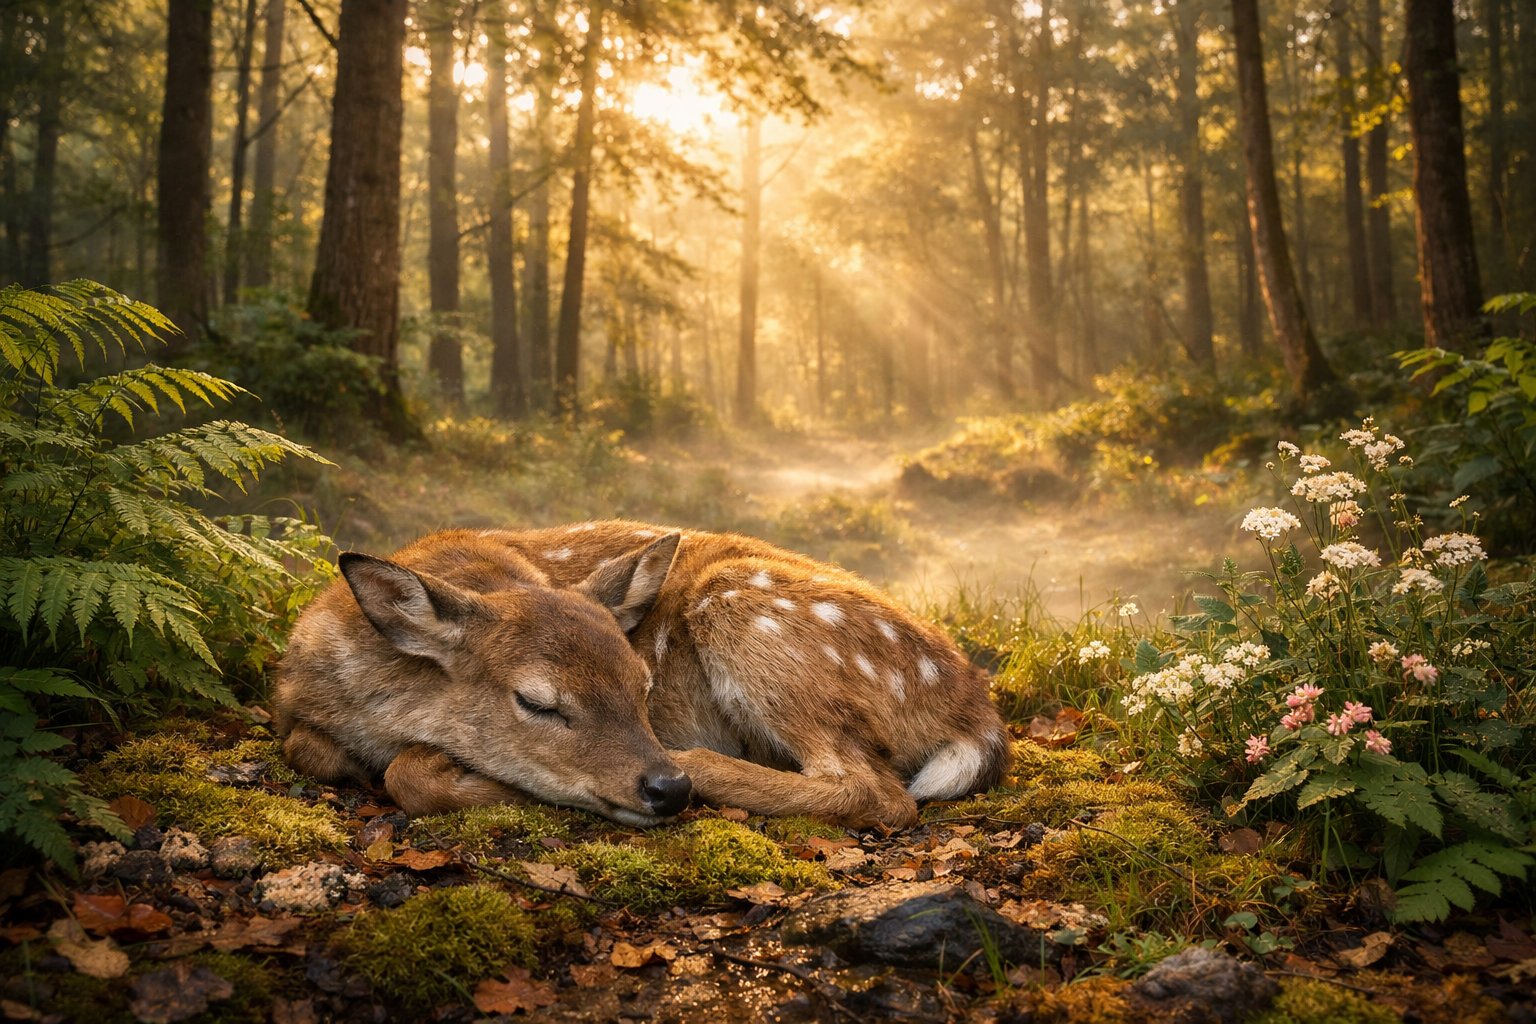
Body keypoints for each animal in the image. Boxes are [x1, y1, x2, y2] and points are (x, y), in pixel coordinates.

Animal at [273, 521, 1011, 829]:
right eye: (537, 701)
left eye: (644, 686)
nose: (664, 787)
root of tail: (974, 709)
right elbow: (306, 748)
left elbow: (407, 774)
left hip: (747, 610)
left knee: (879, 793)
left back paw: (707, 767)